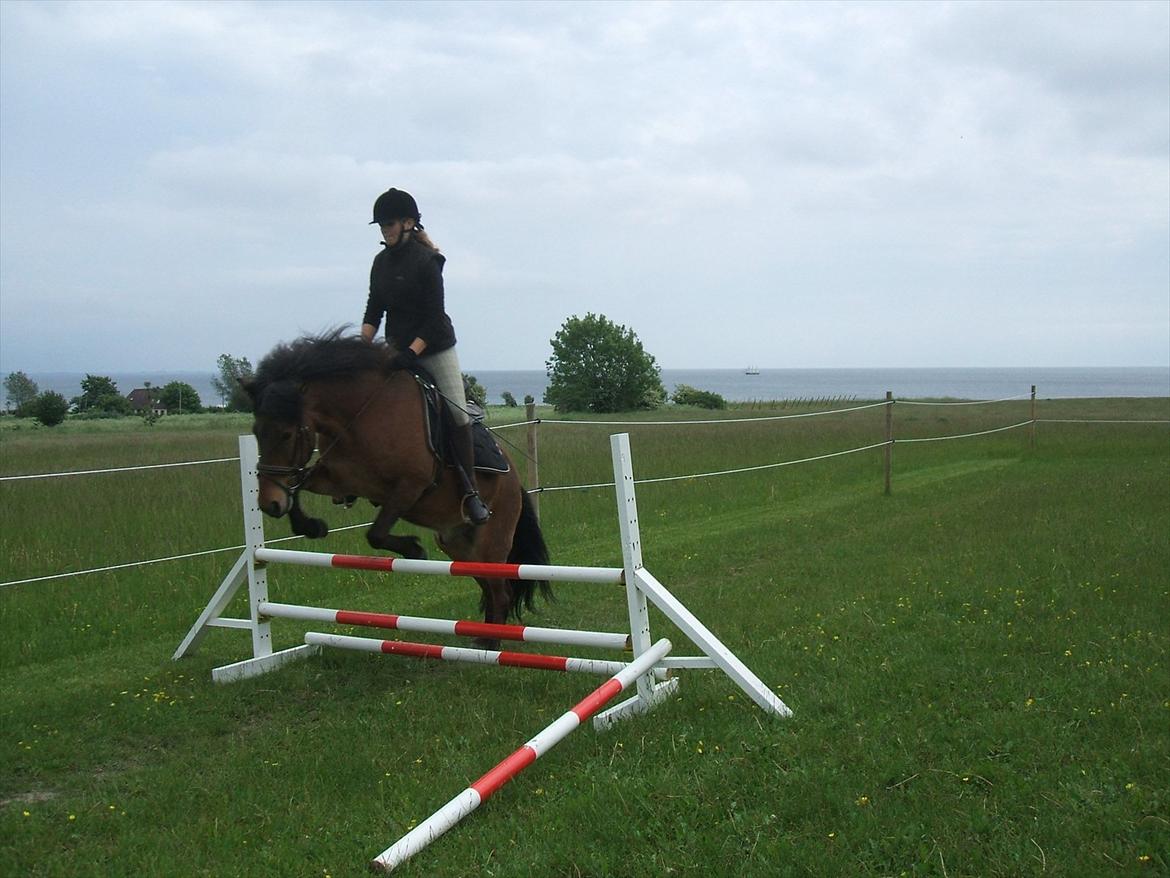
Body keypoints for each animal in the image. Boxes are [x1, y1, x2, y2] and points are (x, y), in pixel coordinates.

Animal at [243, 330, 552, 646]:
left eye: (286, 434)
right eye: (256, 432)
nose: (268, 504)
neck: (362, 414)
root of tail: (515, 482)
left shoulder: (411, 486)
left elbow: (376, 534)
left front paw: (413, 549)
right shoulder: (338, 477)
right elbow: (299, 488)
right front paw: (312, 526)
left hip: (492, 542)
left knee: (500, 592)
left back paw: (490, 645)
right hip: (458, 545)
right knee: (491, 589)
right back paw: (482, 640)